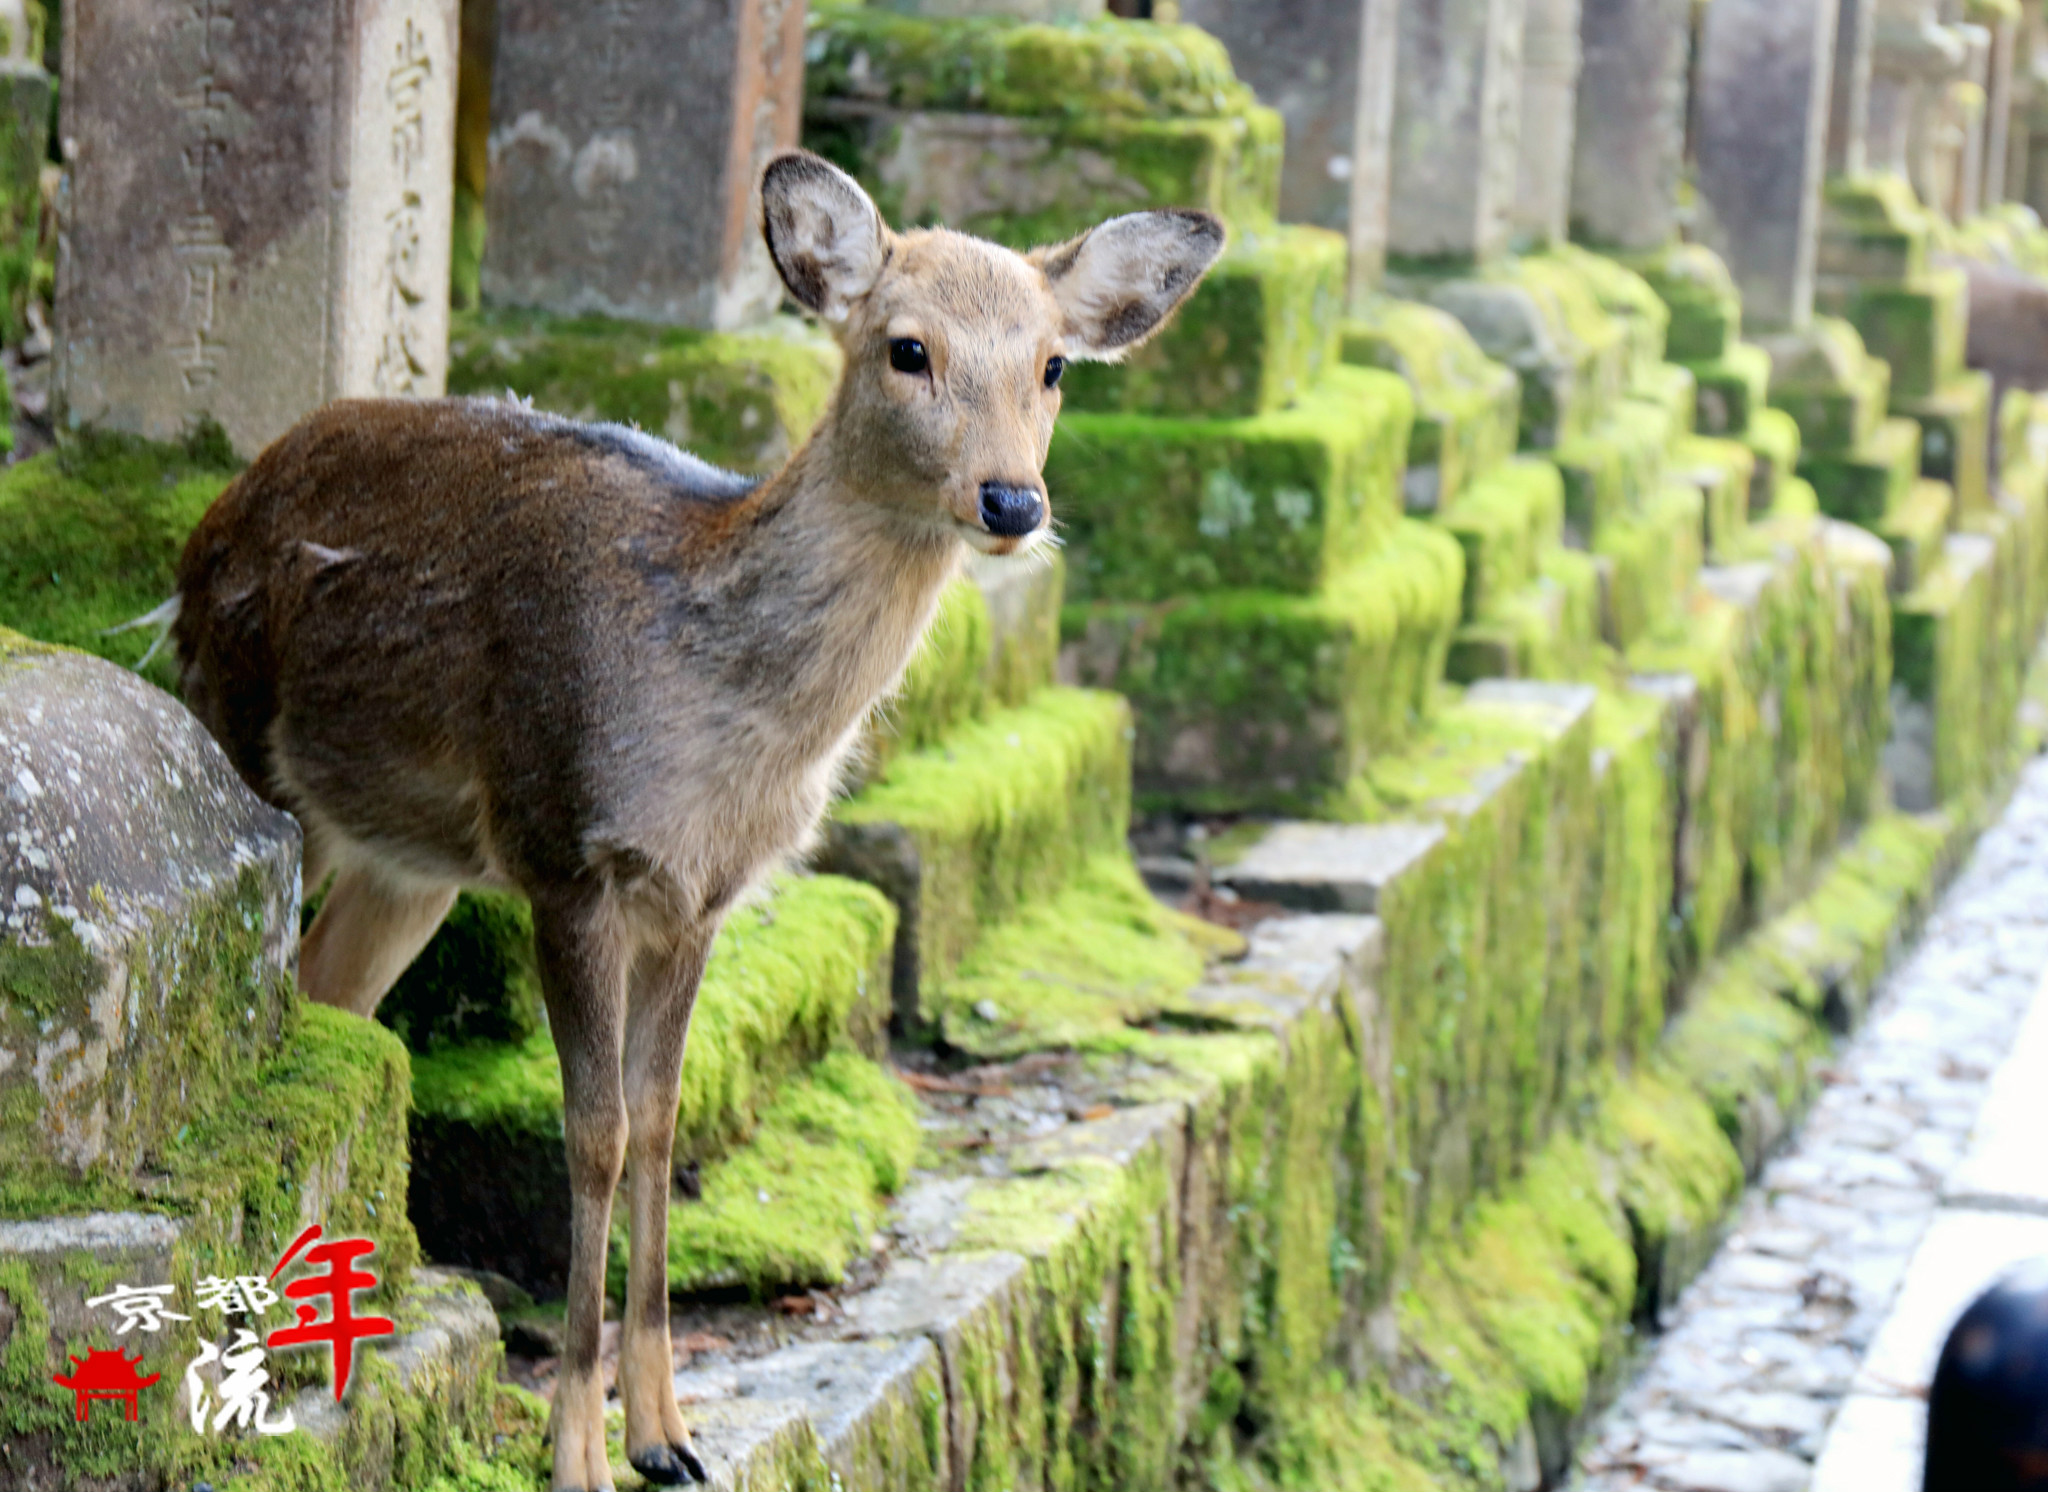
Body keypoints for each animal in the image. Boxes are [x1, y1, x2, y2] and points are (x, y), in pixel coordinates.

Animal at [167, 145, 1220, 1481]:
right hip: (239, 737)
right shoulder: (566, 847)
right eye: (907, 349)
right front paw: (574, 1448)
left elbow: (667, 1123)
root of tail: (209, 521)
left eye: (1052, 366)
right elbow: (596, 1131)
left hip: (415, 864)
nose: (1010, 502)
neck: (726, 734)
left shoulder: (701, 897)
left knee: (330, 996)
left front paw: (667, 1434)